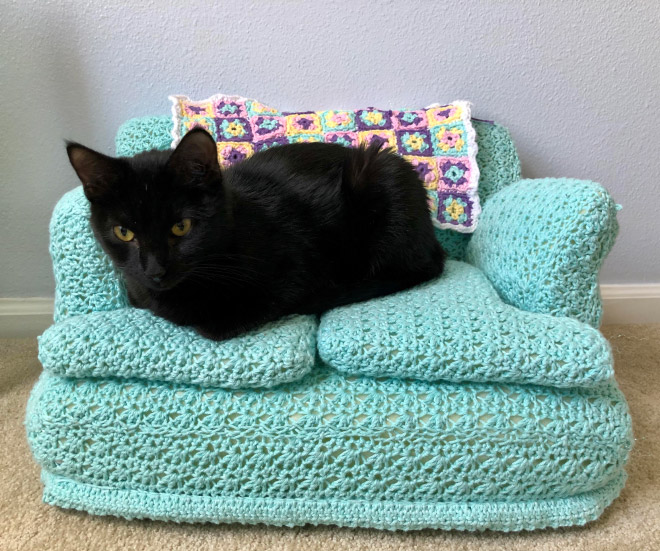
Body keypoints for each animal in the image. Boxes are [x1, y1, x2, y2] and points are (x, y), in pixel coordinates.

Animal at [65, 128, 444, 340]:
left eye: (181, 226)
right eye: (124, 232)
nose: (155, 270)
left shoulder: (298, 272)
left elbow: (221, 322)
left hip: (381, 176)